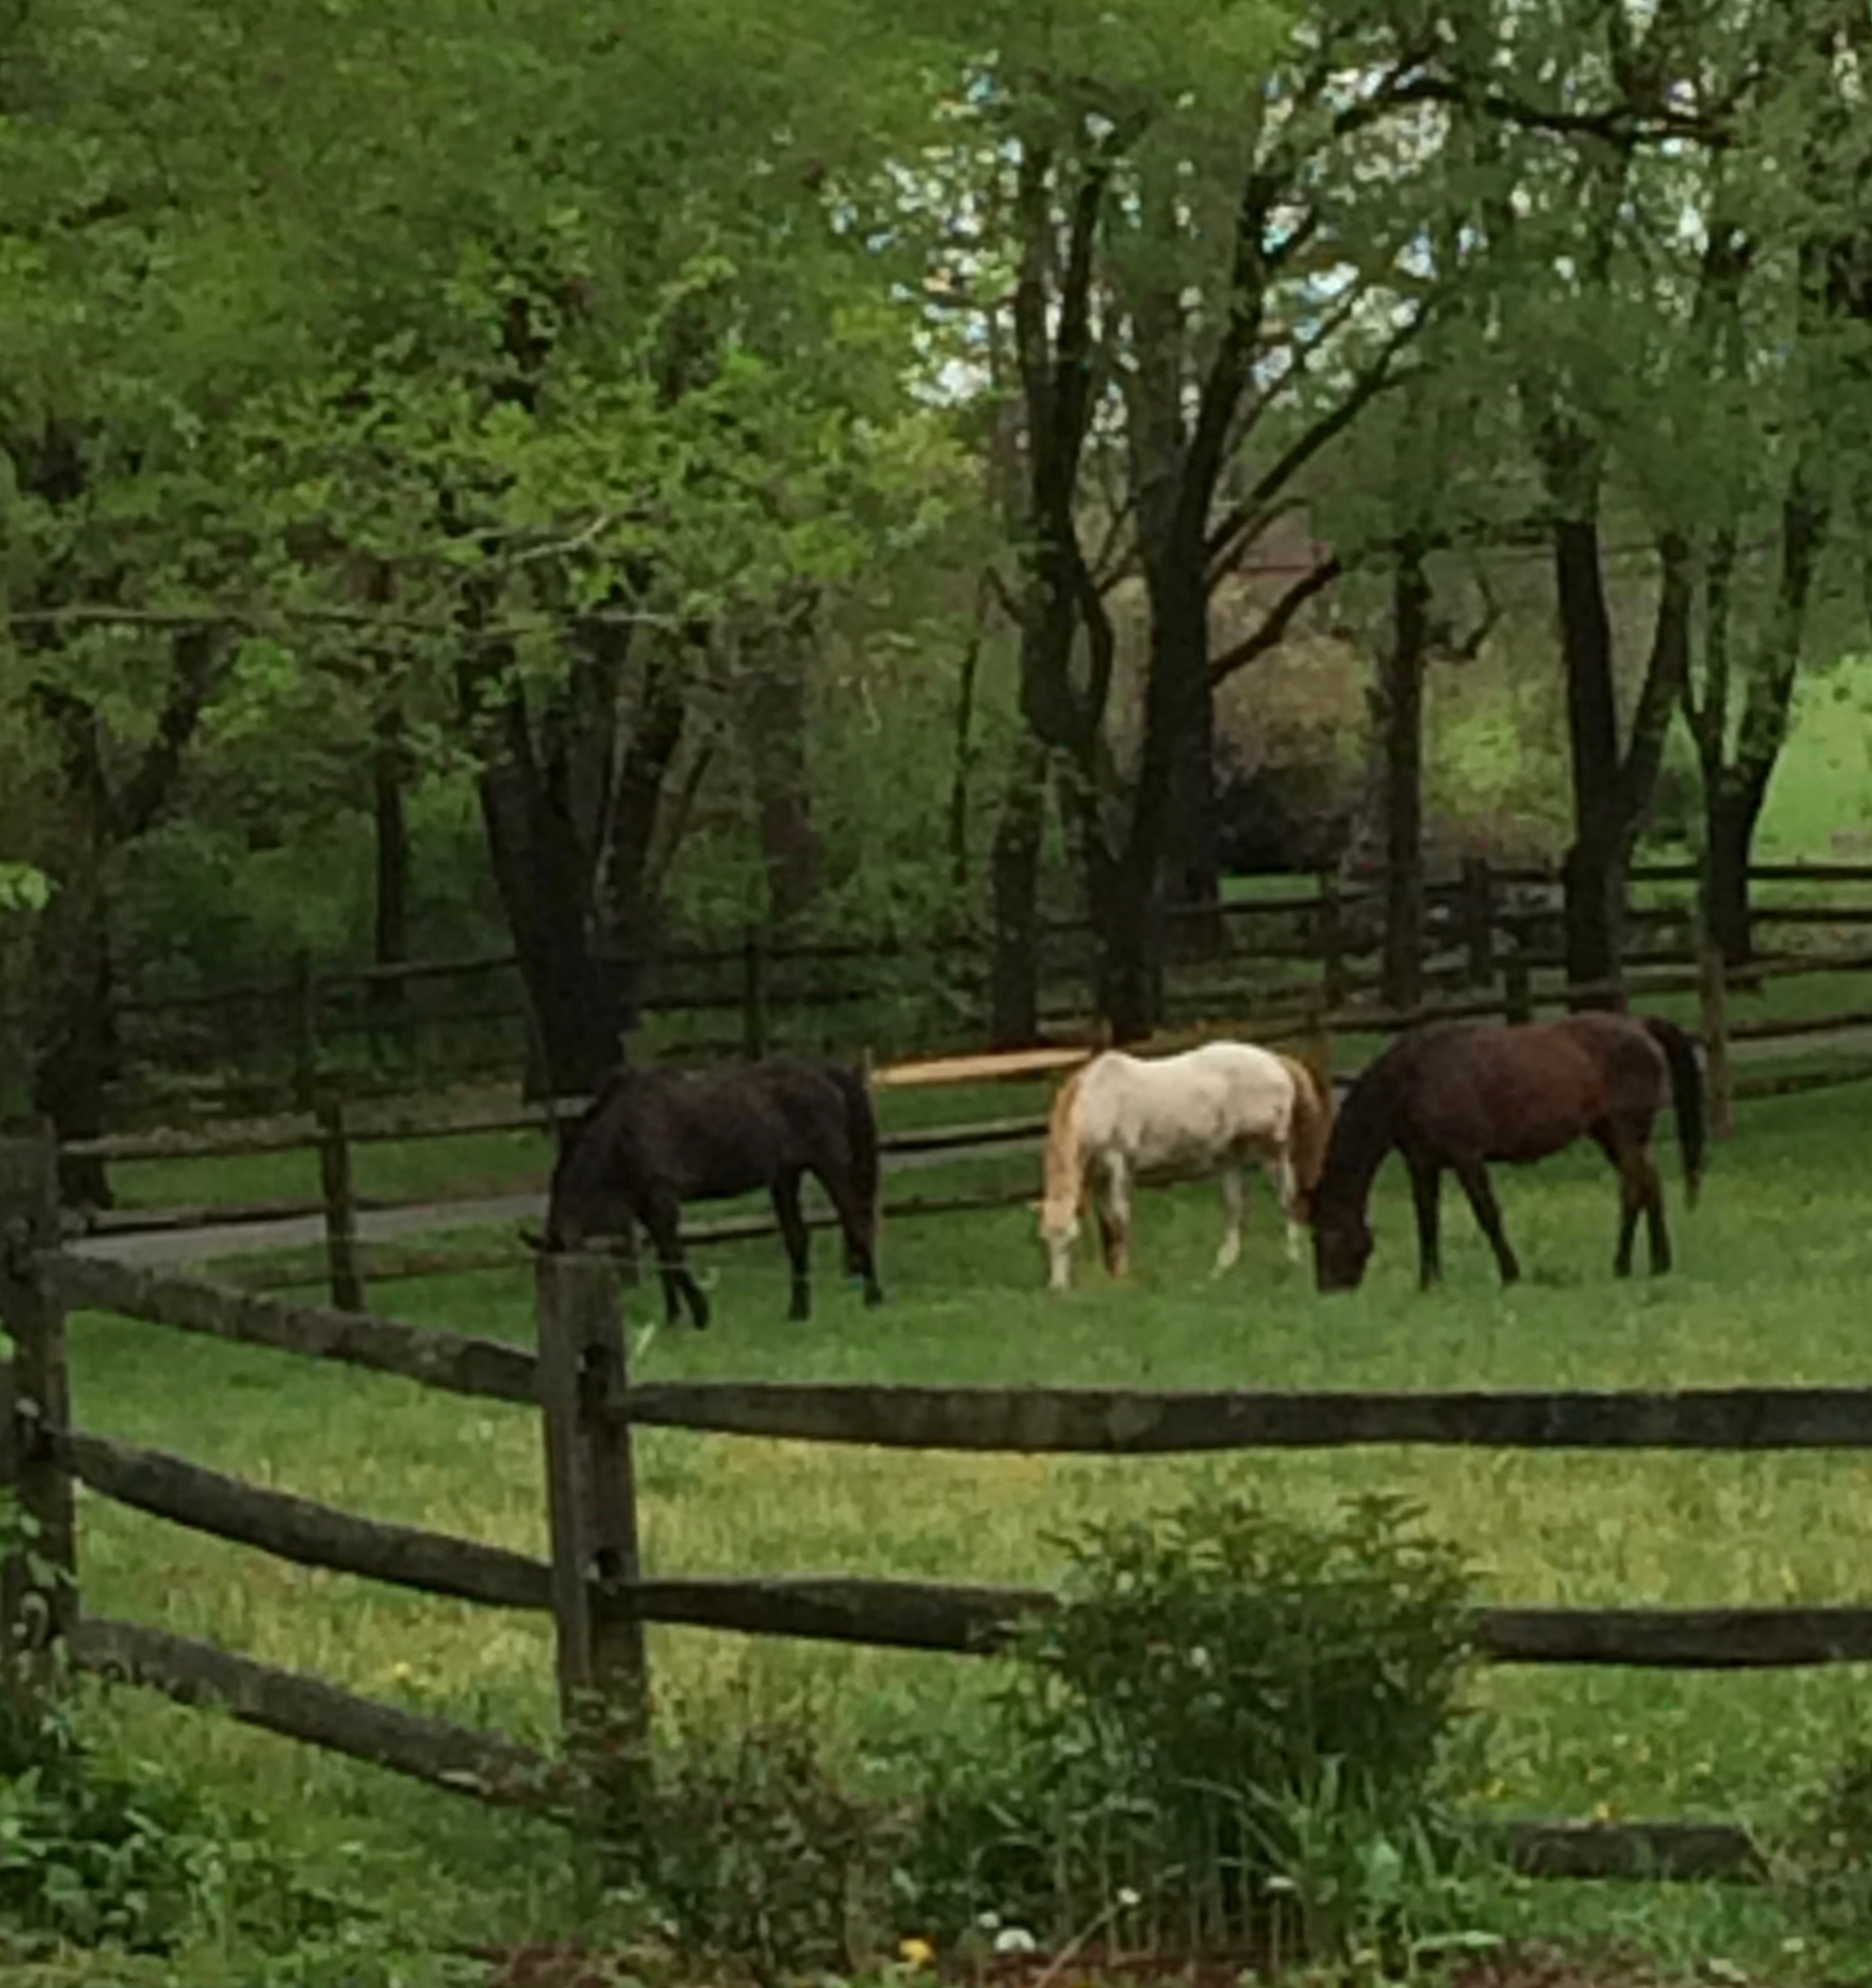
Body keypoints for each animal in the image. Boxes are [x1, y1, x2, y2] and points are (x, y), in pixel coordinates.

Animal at [540, 1065, 886, 1327]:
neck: (622, 1134)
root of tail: (825, 1073)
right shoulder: (646, 1209)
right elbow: (664, 1261)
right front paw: (673, 1318)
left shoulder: (663, 1202)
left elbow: (674, 1257)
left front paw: (699, 1313)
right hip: (786, 1177)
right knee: (798, 1239)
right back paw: (798, 1312)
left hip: (830, 1166)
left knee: (857, 1221)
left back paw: (873, 1297)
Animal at [1041, 1033, 1335, 1296]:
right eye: (1046, 1241)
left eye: (1070, 1243)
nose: (1056, 1290)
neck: (1098, 1100)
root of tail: (1275, 1060)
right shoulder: (1097, 1177)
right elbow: (1106, 1224)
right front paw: (1109, 1274)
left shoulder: (1119, 1165)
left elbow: (1119, 1220)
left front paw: (1123, 1276)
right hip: (1231, 1158)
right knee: (1237, 1210)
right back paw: (1220, 1270)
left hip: (1273, 1152)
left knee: (1288, 1201)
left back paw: (1292, 1259)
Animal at [1311, 1017, 1709, 1296]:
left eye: (1328, 1234)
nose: (1329, 1289)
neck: (1413, 1078)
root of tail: (1640, 1025)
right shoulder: (1423, 1165)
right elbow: (1427, 1223)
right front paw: (1429, 1283)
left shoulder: (1467, 1158)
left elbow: (1487, 1215)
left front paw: (1511, 1274)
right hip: (1610, 1134)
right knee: (1646, 1185)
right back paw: (1652, 1263)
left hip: (1625, 1131)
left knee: (1636, 1186)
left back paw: (1630, 1263)